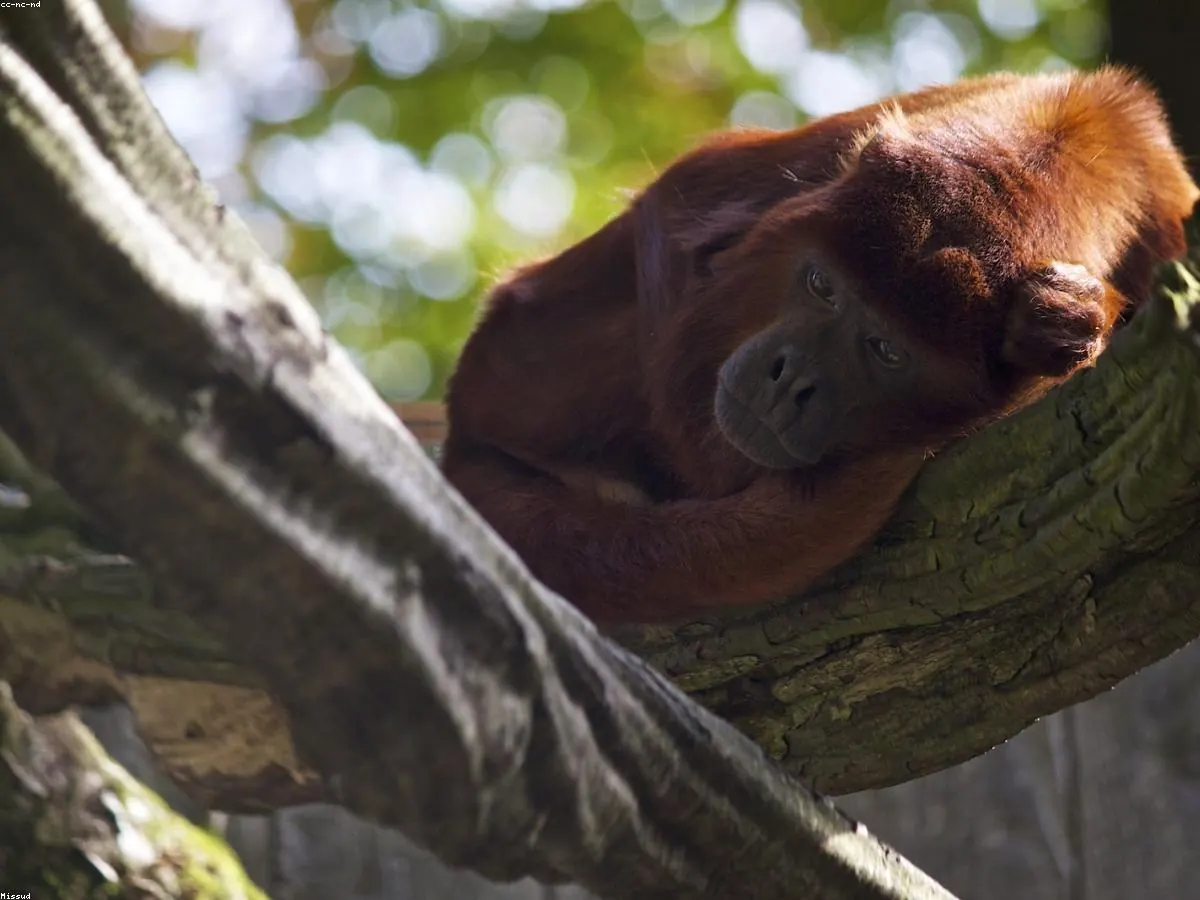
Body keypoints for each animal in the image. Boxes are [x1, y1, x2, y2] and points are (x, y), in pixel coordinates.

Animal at [439, 66, 1199, 624]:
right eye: (820, 286)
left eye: (886, 350)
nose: (786, 378)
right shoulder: (829, 160)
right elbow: (676, 207)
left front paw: (1069, 322)